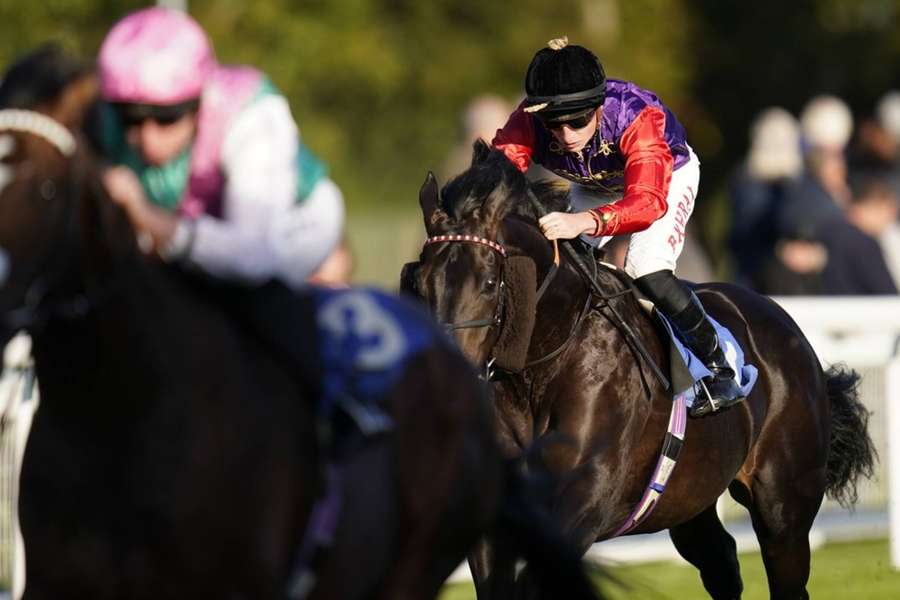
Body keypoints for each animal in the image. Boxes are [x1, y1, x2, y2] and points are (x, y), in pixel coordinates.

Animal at [404, 141, 876, 600]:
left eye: (488, 283)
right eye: (420, 283)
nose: (452, 380)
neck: (542, 367)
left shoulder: (583, 502)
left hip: (783, 507)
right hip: (688, 498)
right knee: (722, 563)